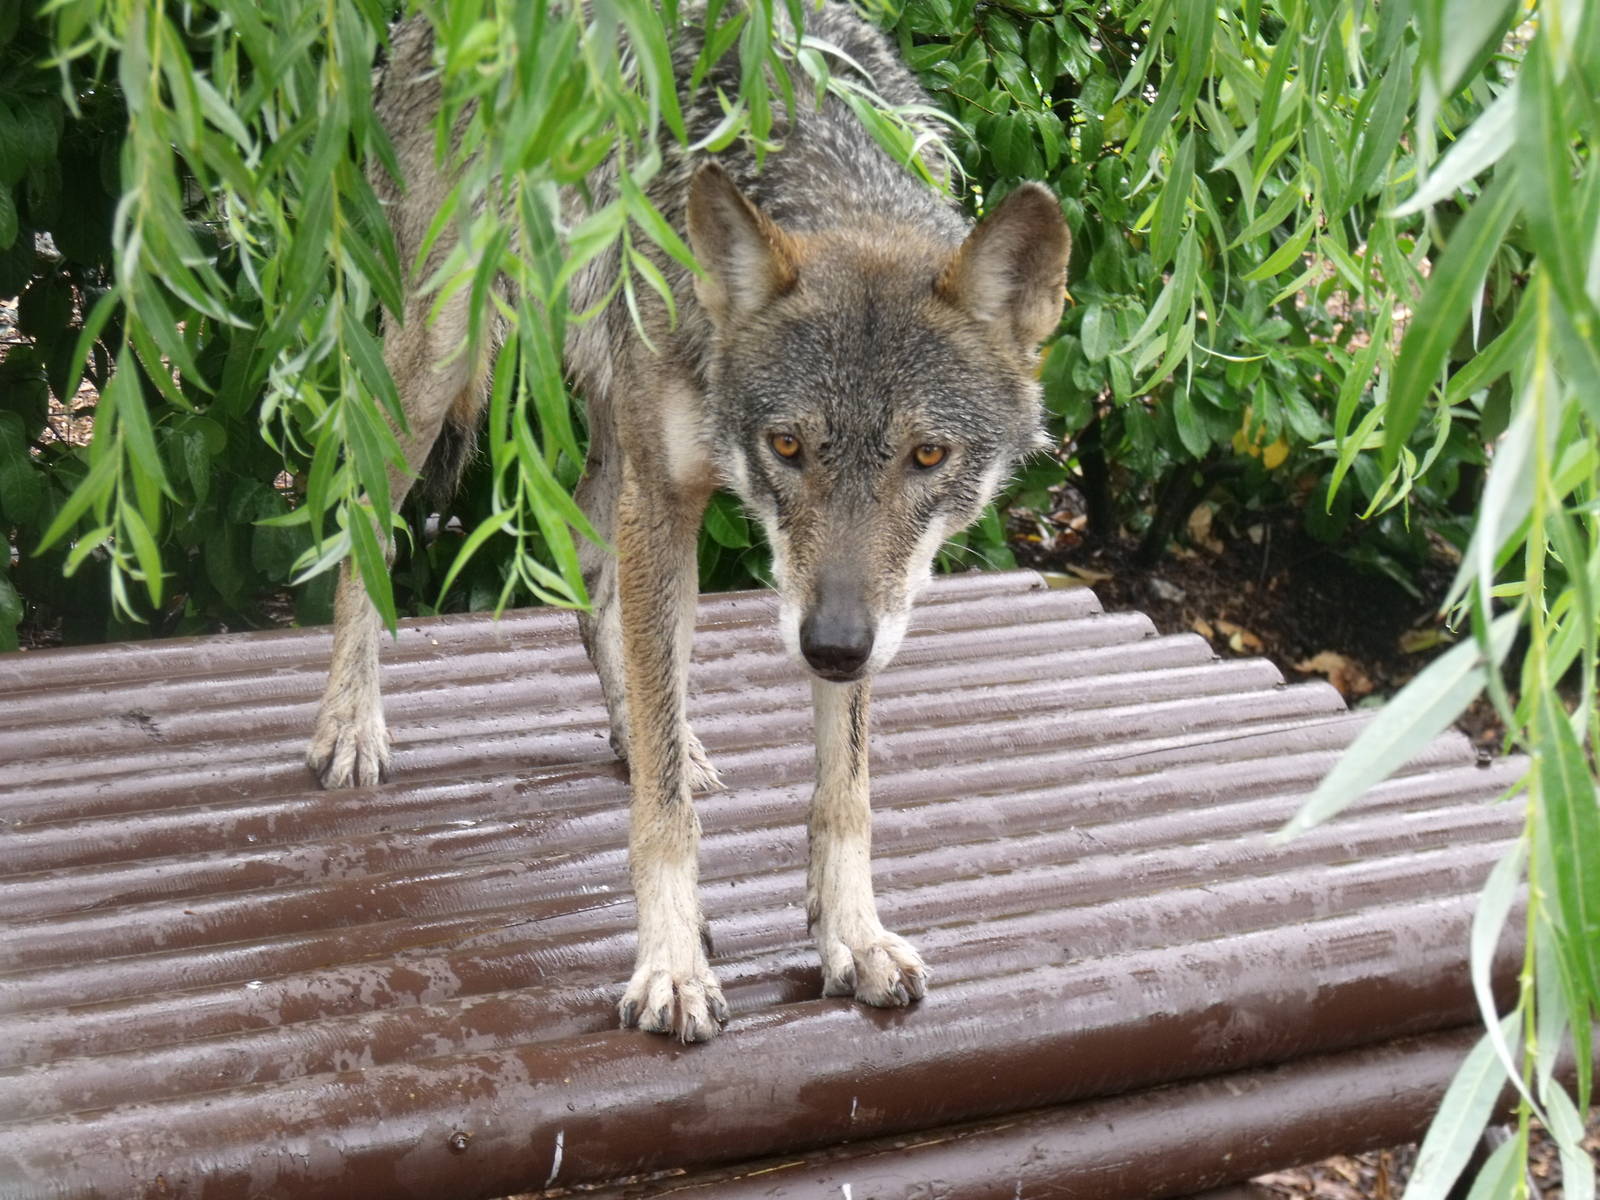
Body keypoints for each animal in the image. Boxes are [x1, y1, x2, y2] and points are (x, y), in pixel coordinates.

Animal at [306, 1, 1070, 1041]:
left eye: (926, 457)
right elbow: (666, 817)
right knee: (364, 514)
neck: (816, 156)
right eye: (787, 446)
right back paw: (352, 723)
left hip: (611, 424)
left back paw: (639, 733)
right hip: (444, 352)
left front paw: (851, 935)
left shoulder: (840, 596)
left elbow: (845, 788)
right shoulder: (677, 506)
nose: (831, 648)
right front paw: (671, 964)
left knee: (596, 583)